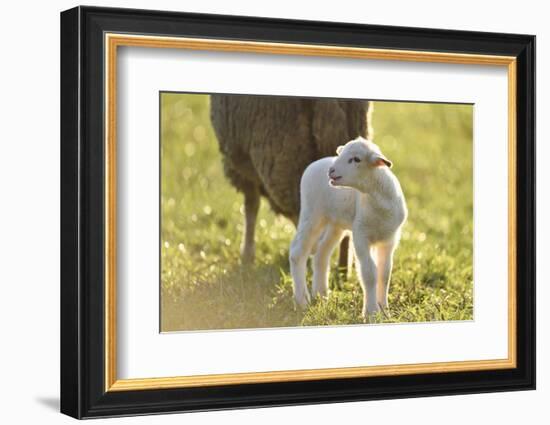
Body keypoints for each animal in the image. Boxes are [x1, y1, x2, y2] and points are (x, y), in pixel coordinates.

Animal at [292, 136, 408, 318]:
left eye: (356, 159)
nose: (331, 171)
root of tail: (316, 163)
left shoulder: (389, 239)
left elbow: (384, 274)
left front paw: (385, 311)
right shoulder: (360, 235)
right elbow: (369, 274)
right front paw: (371, 312)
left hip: (335, 223)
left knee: (321, 253)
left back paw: (321, 295)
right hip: (312, 214)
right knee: (297, 253)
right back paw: (302, 301)